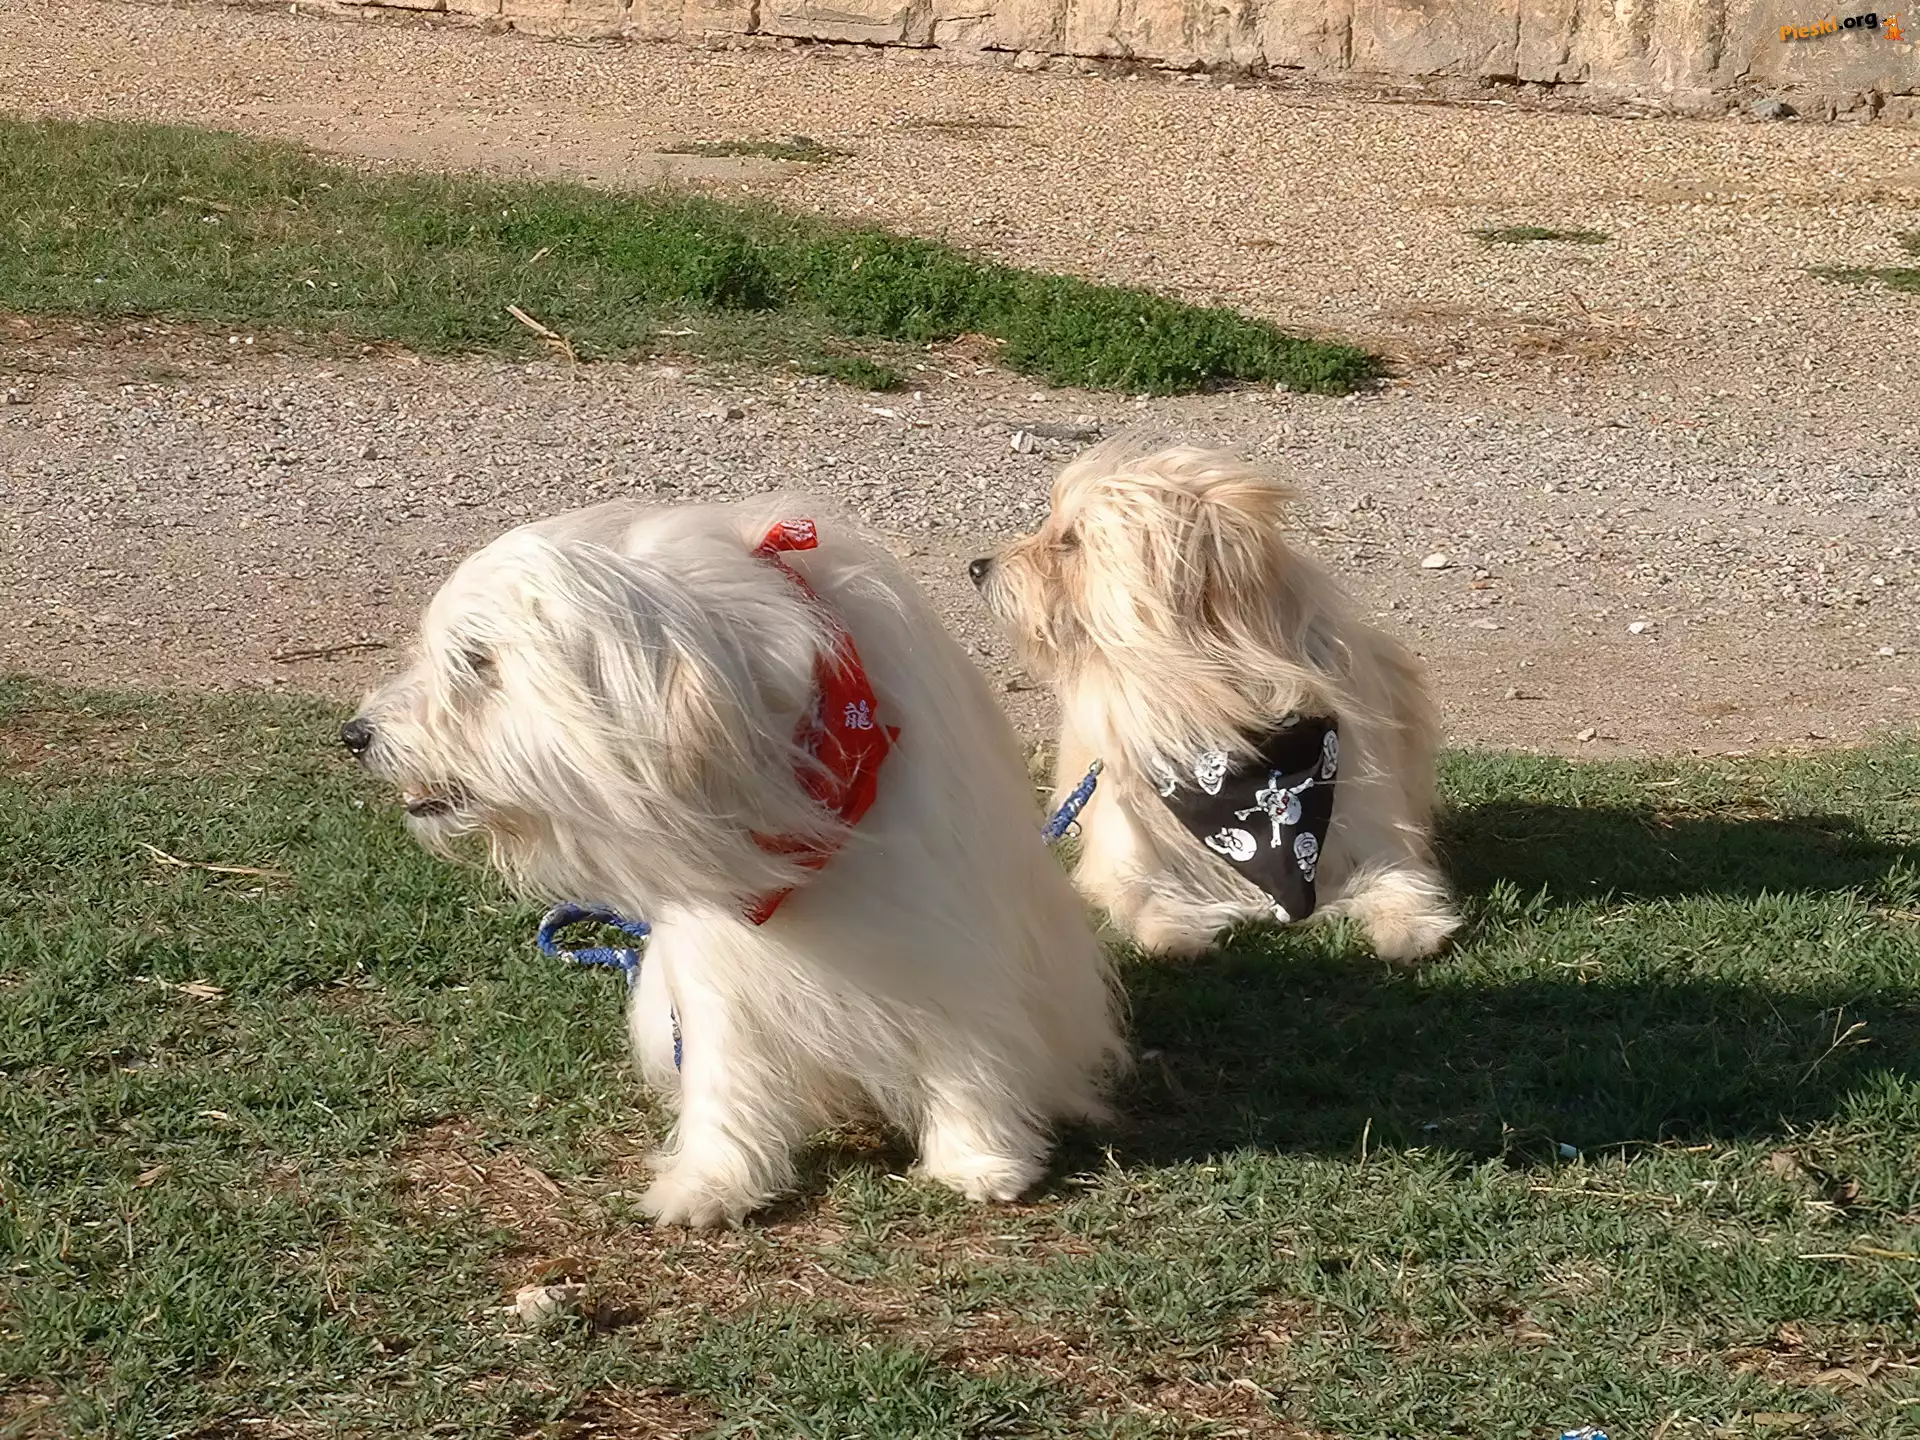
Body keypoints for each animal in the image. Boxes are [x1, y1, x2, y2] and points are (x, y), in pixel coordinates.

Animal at [344, 497, 1125, 1227]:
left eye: (477, 661)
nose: (355, 734)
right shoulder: (718, 966)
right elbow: (725, 1075)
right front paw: (712, 1181)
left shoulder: (947, 927)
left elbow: (969, 1045)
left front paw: (980, 1157)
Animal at [971, 443, 1460, 964]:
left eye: (1069, 541)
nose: (978, 567)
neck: (1212, 709)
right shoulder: (1128, 855)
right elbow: (1142, 896)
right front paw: (1172, 932)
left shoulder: (1370, 833)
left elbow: (1399, 878)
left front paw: (1409, 926)